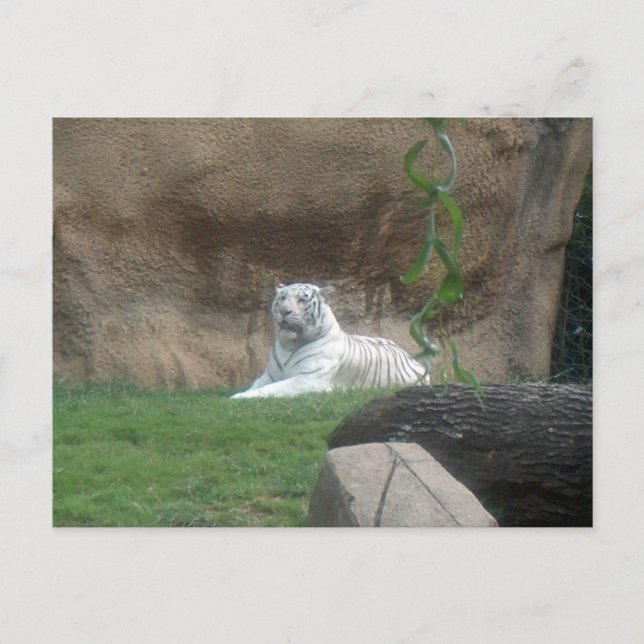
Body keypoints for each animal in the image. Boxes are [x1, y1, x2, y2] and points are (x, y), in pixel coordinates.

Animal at [230, 282, 430, 399]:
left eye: (302, 299)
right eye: (282, 298)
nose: (284, 311)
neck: (288, 345)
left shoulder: (308, 379)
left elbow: (272, 389)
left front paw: (237, 398)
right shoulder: (268, 376)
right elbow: (256, 386)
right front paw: (241, 393)